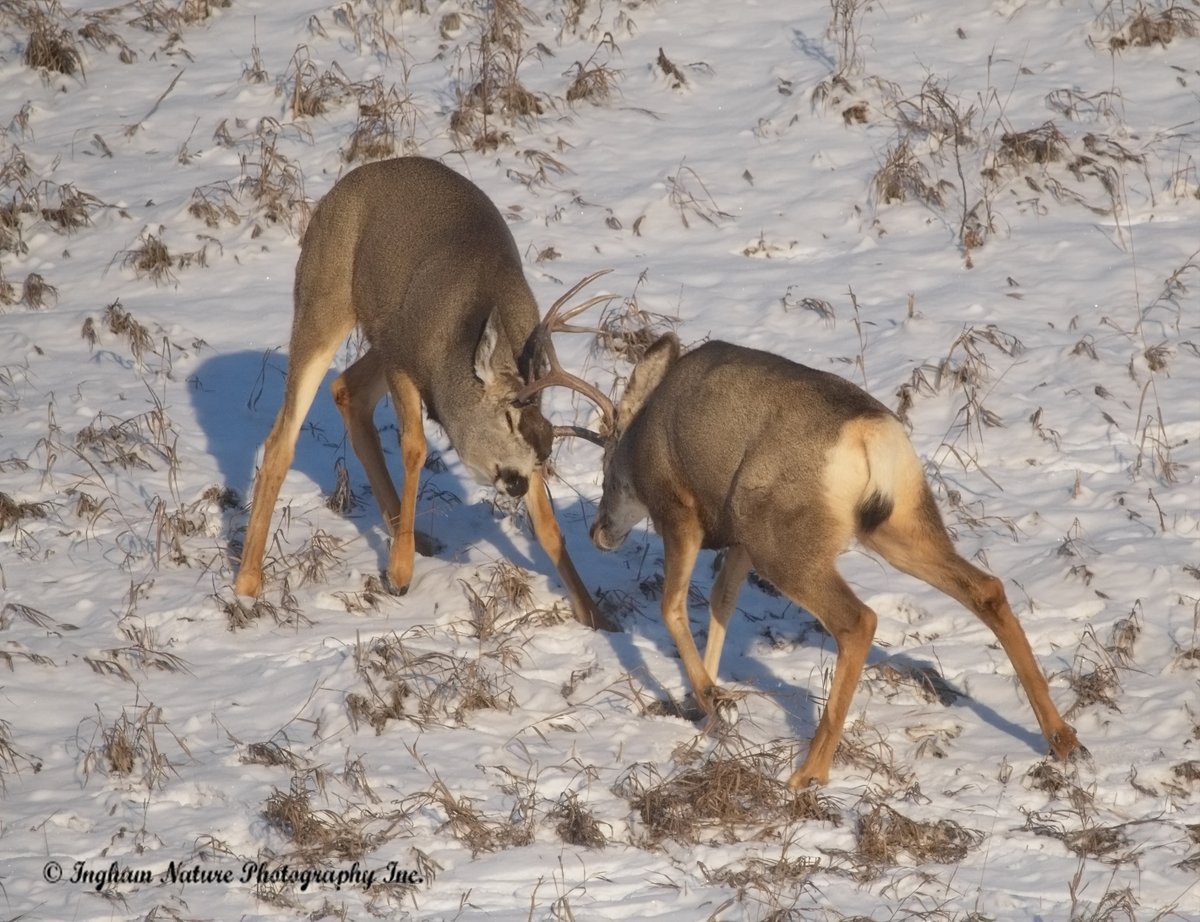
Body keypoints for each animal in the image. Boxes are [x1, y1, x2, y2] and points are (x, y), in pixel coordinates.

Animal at [231, 158, 619, 633]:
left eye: (545, 444)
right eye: (507, 416)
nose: (518, 480)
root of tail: (343, 186)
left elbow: (548, 527)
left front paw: (596, 616)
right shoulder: (404, 359)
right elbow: (414, 447)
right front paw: (399, 575)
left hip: (378, 331)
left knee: (346, 390)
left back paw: (415, 536)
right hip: (326, 300)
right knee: (281, 439)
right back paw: (248, 582)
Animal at [520, 324, 1084, 787]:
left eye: (606, 476)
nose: (598, 531)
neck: (646, 437)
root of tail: (869, 438)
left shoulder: (681, 511)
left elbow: (674, 605)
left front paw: (710, 697)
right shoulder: (740, 540)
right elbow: (721, 605)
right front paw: (706, 702)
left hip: (786, 538)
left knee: (859, 619)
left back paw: (808, 774)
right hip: (896, 524)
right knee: (985, 588)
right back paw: (1062, 739)